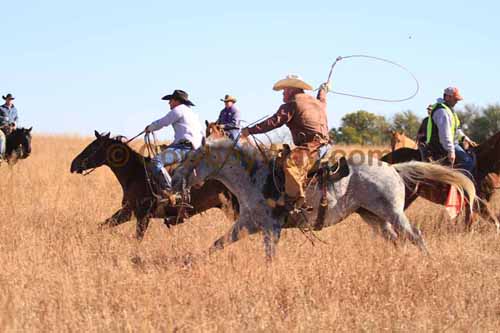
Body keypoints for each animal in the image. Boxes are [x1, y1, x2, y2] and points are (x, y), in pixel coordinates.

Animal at [69, 131, 239, 240]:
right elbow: (103, 225)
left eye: (93, 146)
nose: (73, 164)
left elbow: (137, 238)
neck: (136, 173)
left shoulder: (142, 215)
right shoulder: (128, 211)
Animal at [172, 137, 476, 256]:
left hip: (393, 213)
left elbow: (269, 255)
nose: (174, 180)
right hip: (373, 216)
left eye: (191, 159)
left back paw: (428, 259)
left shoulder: (270, 228)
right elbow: (217, 244)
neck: (254, 177)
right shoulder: (247, 224)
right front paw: (190, 263)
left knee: (415, 235)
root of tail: (393, 168)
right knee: (396, 239)